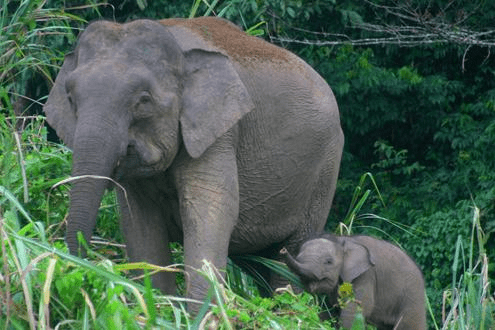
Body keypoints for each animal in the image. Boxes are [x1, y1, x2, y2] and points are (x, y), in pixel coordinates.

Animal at [43, 17, 344, 306]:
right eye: (70, 98)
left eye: (143, 100)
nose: (74, 271)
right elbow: (139, 222)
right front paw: (160, 306)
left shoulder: (220, 132)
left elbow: (212, 209)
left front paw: (201, 312)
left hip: (324, 170)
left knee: (291, 254)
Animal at [282, 233, 426, 328]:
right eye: (298, 257)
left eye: (328, 262)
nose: (283, 250)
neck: (343, 240)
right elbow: (334, 309)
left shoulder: (366, 275)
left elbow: (356, 309)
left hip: (413, 297)